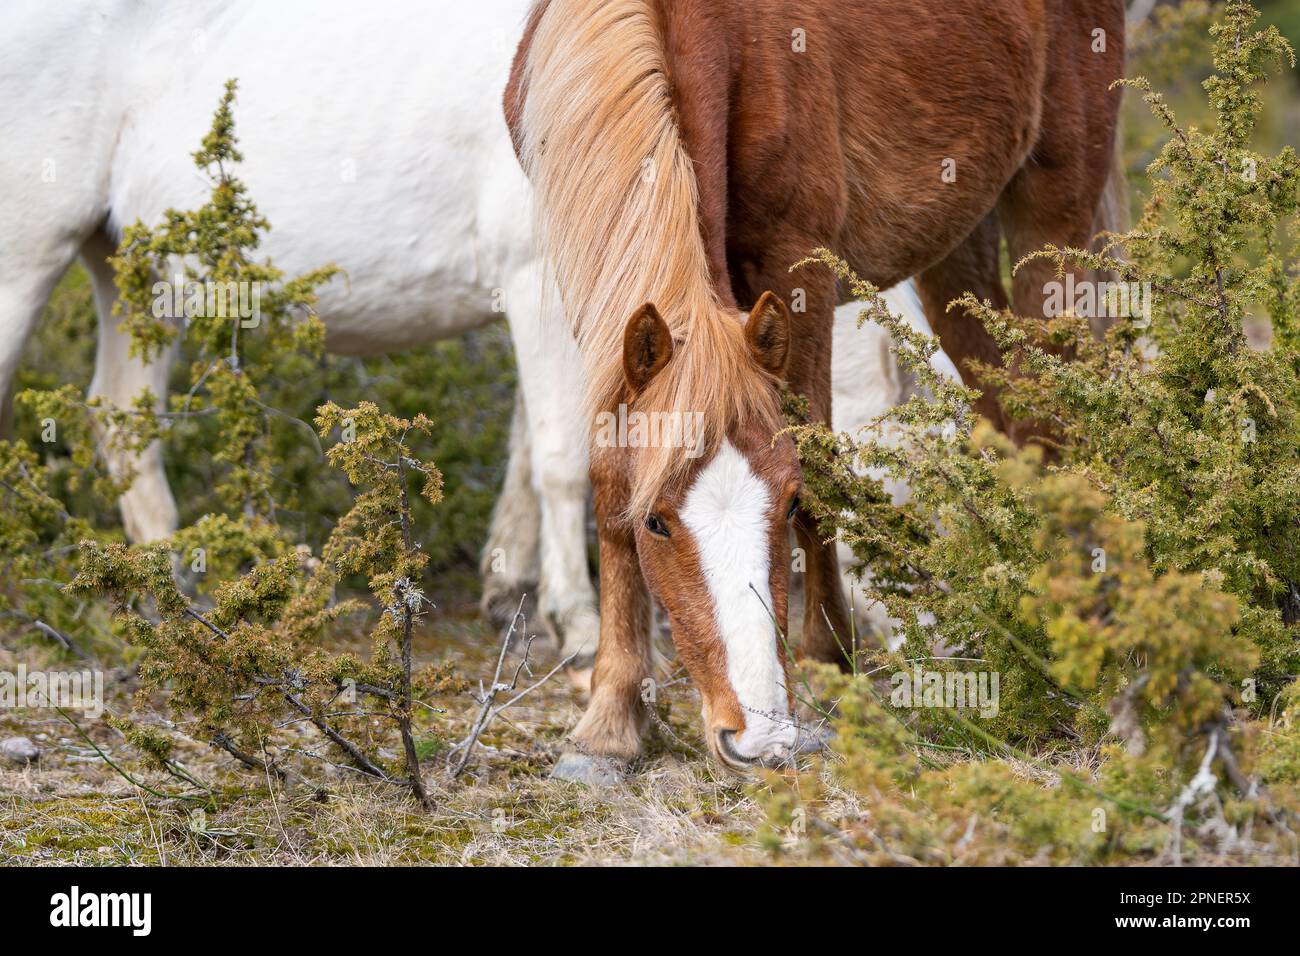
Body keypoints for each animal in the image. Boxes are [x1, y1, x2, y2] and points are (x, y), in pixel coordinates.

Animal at [506, 0, 1128, 785]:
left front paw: (830, 670)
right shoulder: (593, 279)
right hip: (959, 240)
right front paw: (609, 720)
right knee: (1003, 406)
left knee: (1049, 416)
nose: (756, 737)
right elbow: (608, 476)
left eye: (786, 502)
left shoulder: (800, 264)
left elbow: (824, 460)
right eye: (657, 523)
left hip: (1054, 208)